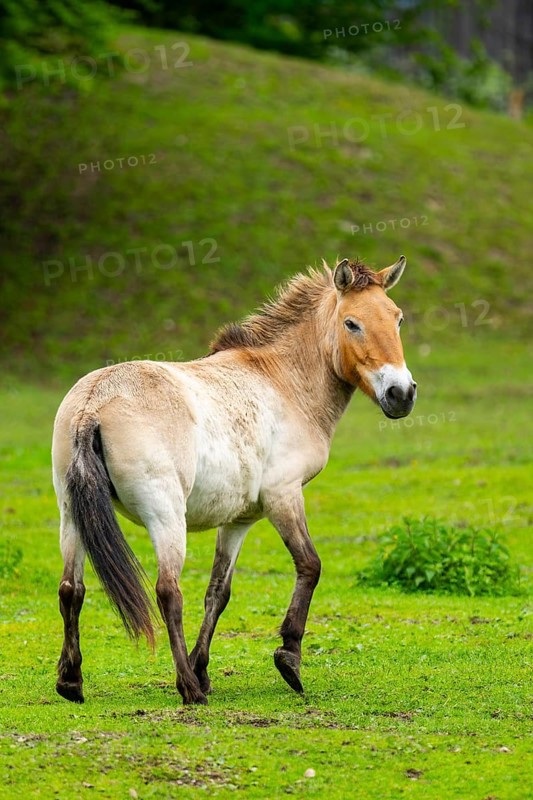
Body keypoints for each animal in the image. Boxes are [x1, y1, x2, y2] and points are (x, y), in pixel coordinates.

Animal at [52, 255, 417, 705]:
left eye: (397, 319)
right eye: (352, 323)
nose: (401, 394)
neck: (282, 380)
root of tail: (94, 404)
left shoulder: (239, 520)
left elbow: (218, 592)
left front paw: (203, 666)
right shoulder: (283, 497)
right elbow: (309, 565)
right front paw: (288, 659)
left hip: (71, 514)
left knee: (72, 588)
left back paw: (72, 682)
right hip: (165, 516)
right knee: (168, 590)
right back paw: (189, 690)